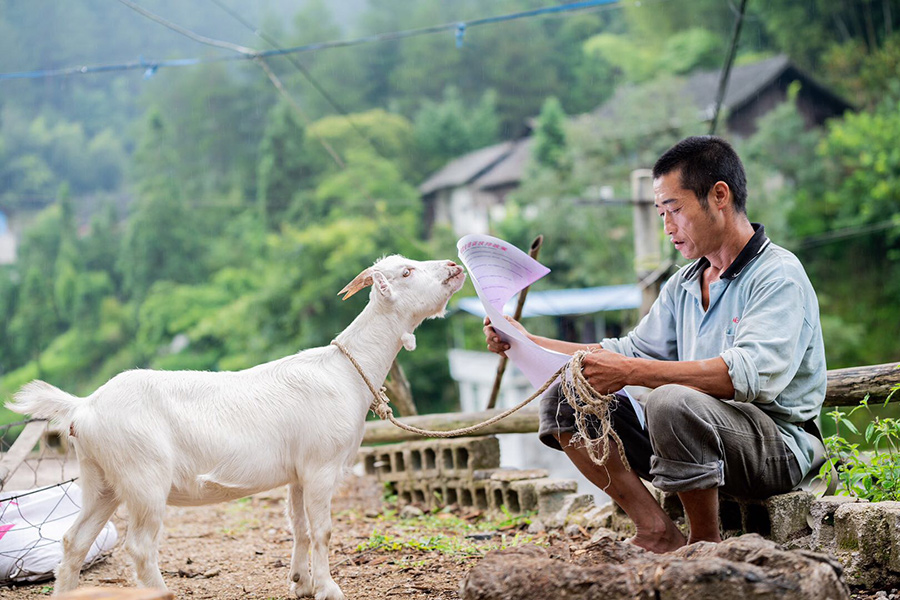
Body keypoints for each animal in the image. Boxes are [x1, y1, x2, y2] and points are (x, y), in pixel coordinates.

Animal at [7, 255, 468, 600]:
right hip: (142, 475)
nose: (453, 265)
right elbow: (322, 529)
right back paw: (161, 591)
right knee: (139, 545)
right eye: (406, 272)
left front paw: (301, 584)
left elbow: (299, 527)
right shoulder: (322, 465)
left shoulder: (299, 471)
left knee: (75, 540)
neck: (346, 373)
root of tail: (83, 406)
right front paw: (329, 589)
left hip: (101, 478)